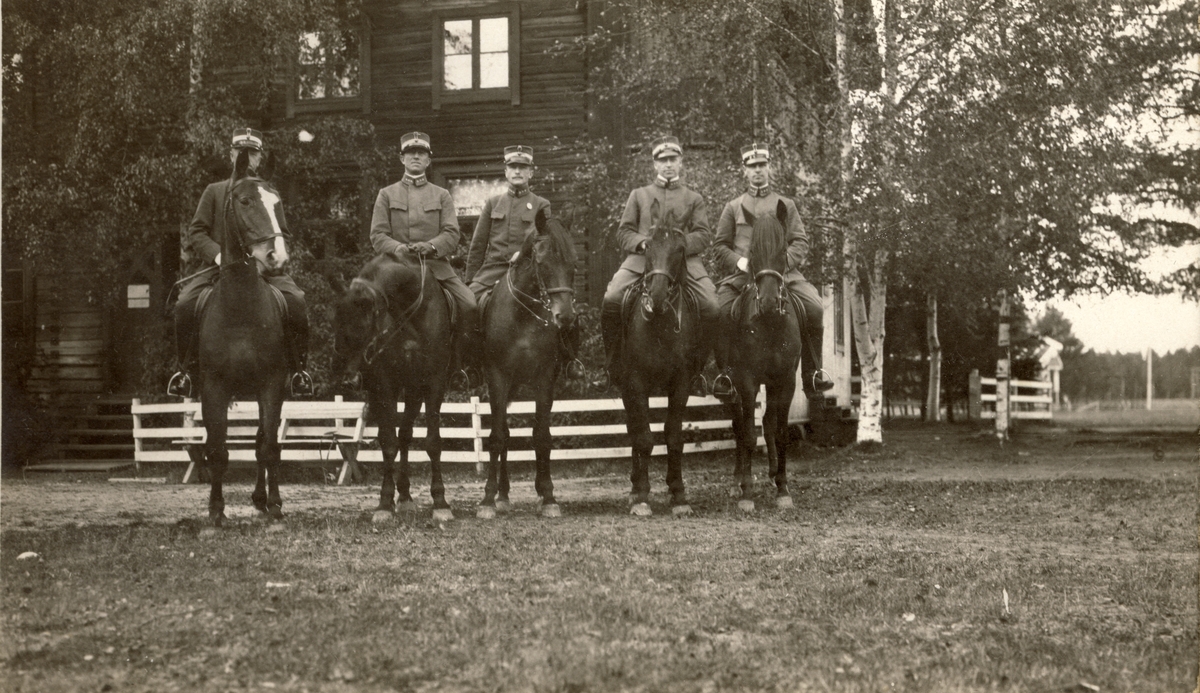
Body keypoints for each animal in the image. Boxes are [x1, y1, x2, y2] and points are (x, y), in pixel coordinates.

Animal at [198, 148, 291, 520]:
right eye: (246, 200)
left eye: (277, 204)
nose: (276, 257)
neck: (240, 308)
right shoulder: (213, 388)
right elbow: (217, 450)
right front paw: (216, 511)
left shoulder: (272, 383)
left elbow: (269, 447)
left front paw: (276, 506)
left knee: (262, 441)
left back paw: (262, 499)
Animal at [333, 248, 453, 517]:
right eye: (337, 322)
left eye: (364, 325)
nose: (350, 379)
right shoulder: (384, 385)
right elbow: (388, 442)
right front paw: (385, 502)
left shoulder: (434, 382)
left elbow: (433, 442)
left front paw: (440, 501)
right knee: (400, 436)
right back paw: (404, 495)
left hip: (414, 389)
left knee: (406, 434)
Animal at [475, 207, 573, 515]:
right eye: (542, 261)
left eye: (572, 262)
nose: (565, 317)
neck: (524, 316)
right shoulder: (497, 378)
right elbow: (496, 437)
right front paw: (487, 499)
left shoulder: (545, 379)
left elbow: (542, 436)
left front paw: (549, 496)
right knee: (504, 433)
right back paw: (502, 494)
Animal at [619, 199, 700, 513]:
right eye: (647, 247)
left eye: (679, 249)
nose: (656, 297)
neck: (660, 326)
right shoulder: (635, 382)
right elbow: (643, 437)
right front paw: (642, 495)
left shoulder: (681, 383)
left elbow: (673, 435)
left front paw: (678, 493)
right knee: (633, 429)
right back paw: (634, 488)